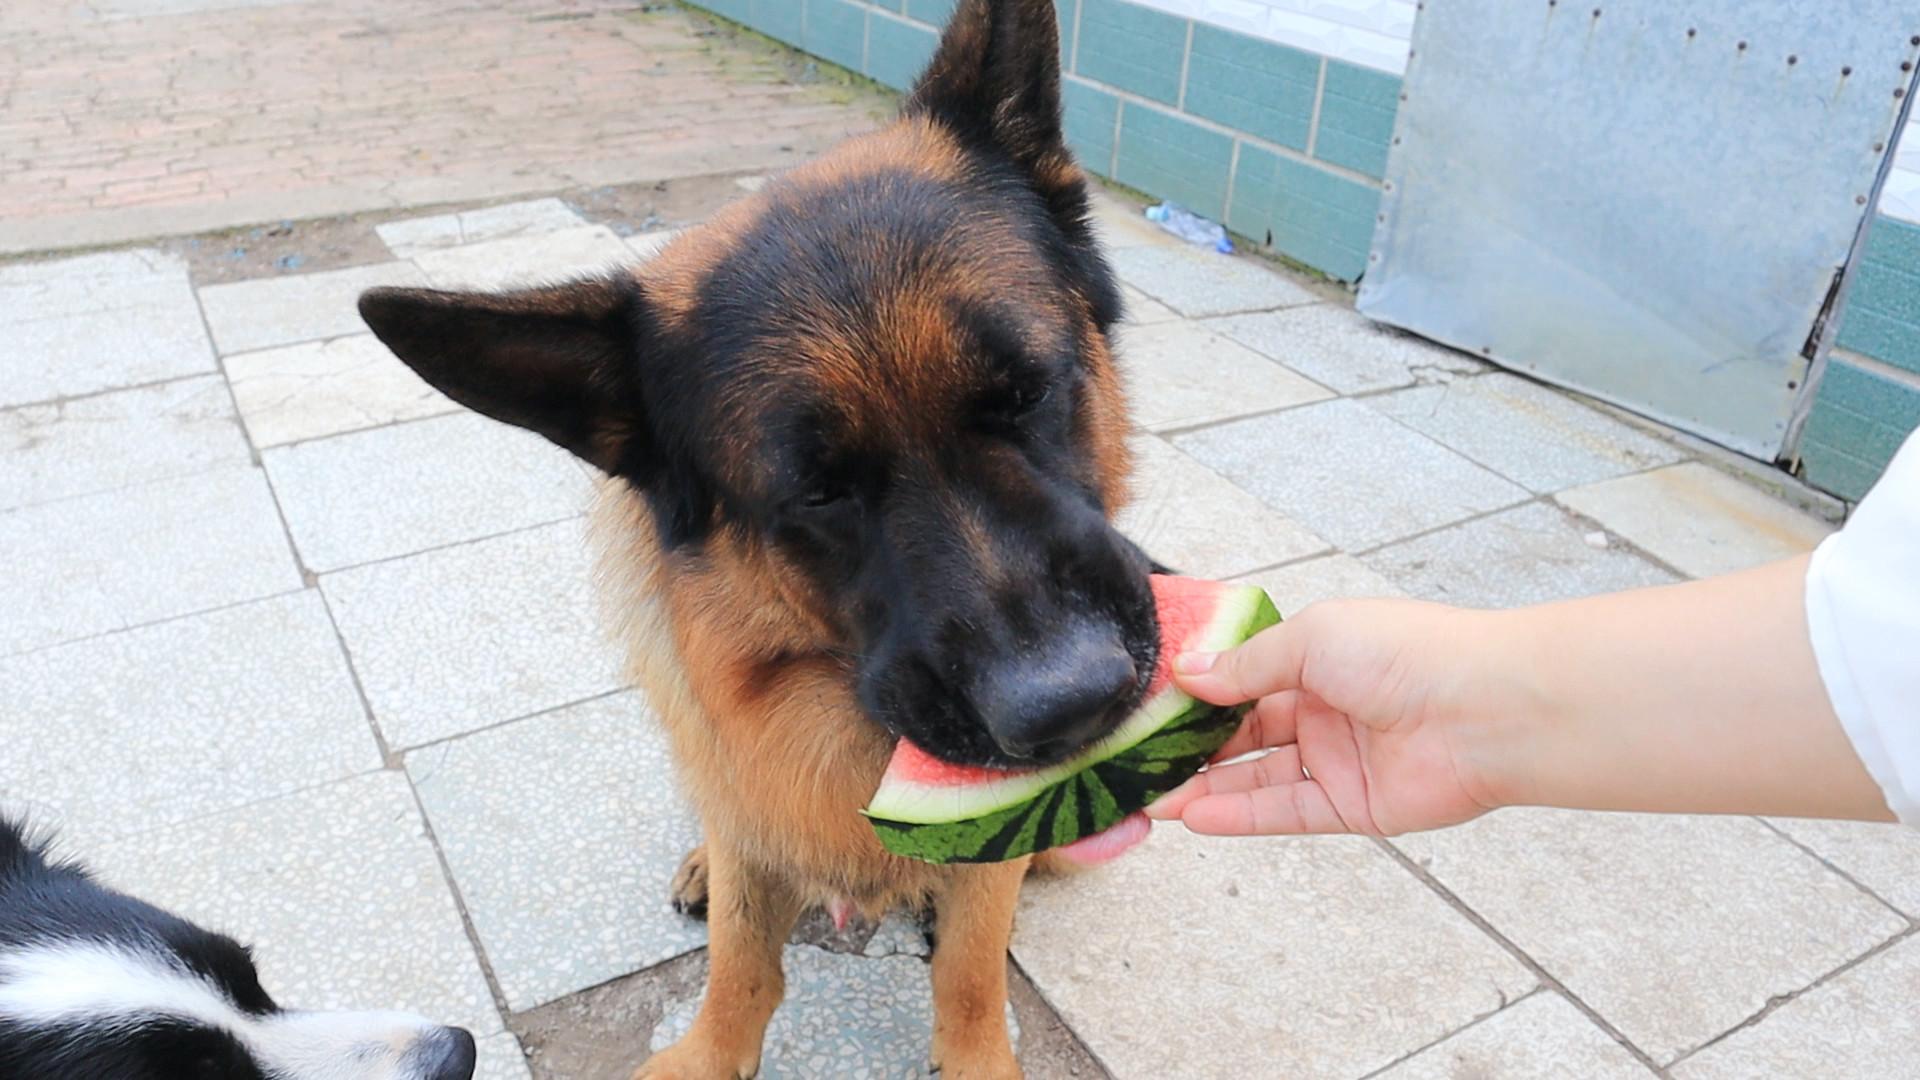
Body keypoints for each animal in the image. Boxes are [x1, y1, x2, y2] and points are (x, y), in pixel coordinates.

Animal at [360, 4, 1152, 1068]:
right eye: (817, 492)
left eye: (1025, 393)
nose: (1071, 705)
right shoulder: (747, 807)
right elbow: (740, 962)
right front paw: (706, 1050)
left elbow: (972, 970)